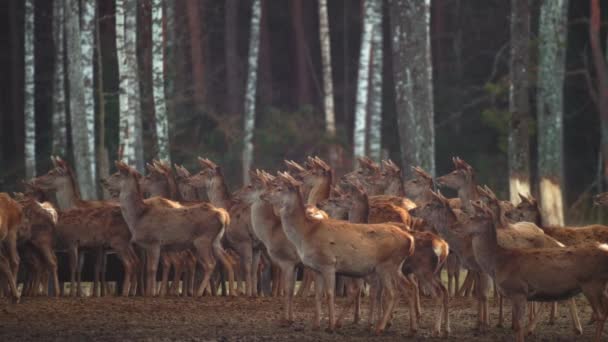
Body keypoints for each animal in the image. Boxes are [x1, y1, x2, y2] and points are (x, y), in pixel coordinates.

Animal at [111, 160, 233, 296]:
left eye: (117, 174)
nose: (103, 181)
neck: (137, 219)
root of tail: (223, 215)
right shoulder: (153, 246)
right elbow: (151, 268)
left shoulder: (154, 242)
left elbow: (152, 269)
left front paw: (152, 293)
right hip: (216, 241)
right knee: (227, 261)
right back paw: (231, 292)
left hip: (203, 239)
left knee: (210, 264)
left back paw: (199, 292)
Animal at [258, 171, 416, 334]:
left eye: (278, 188)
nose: (262, 195)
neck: (307, 233)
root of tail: (409, 239)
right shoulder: (316, 268)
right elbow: (318, 295)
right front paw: (316, 325)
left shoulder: (328, 263)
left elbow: (329, 294)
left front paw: (331, 326)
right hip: (396, 266)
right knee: (408, 288)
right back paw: (412, 328)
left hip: (386, 265)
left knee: (392, 293)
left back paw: (379, 327)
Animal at [466, 200, 608, 342]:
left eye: (472, 218)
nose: (461, 228)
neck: (499, 262)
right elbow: (517, 325)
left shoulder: (518, 290)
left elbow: (519, 325)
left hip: (591, 284)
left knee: (601, 314)